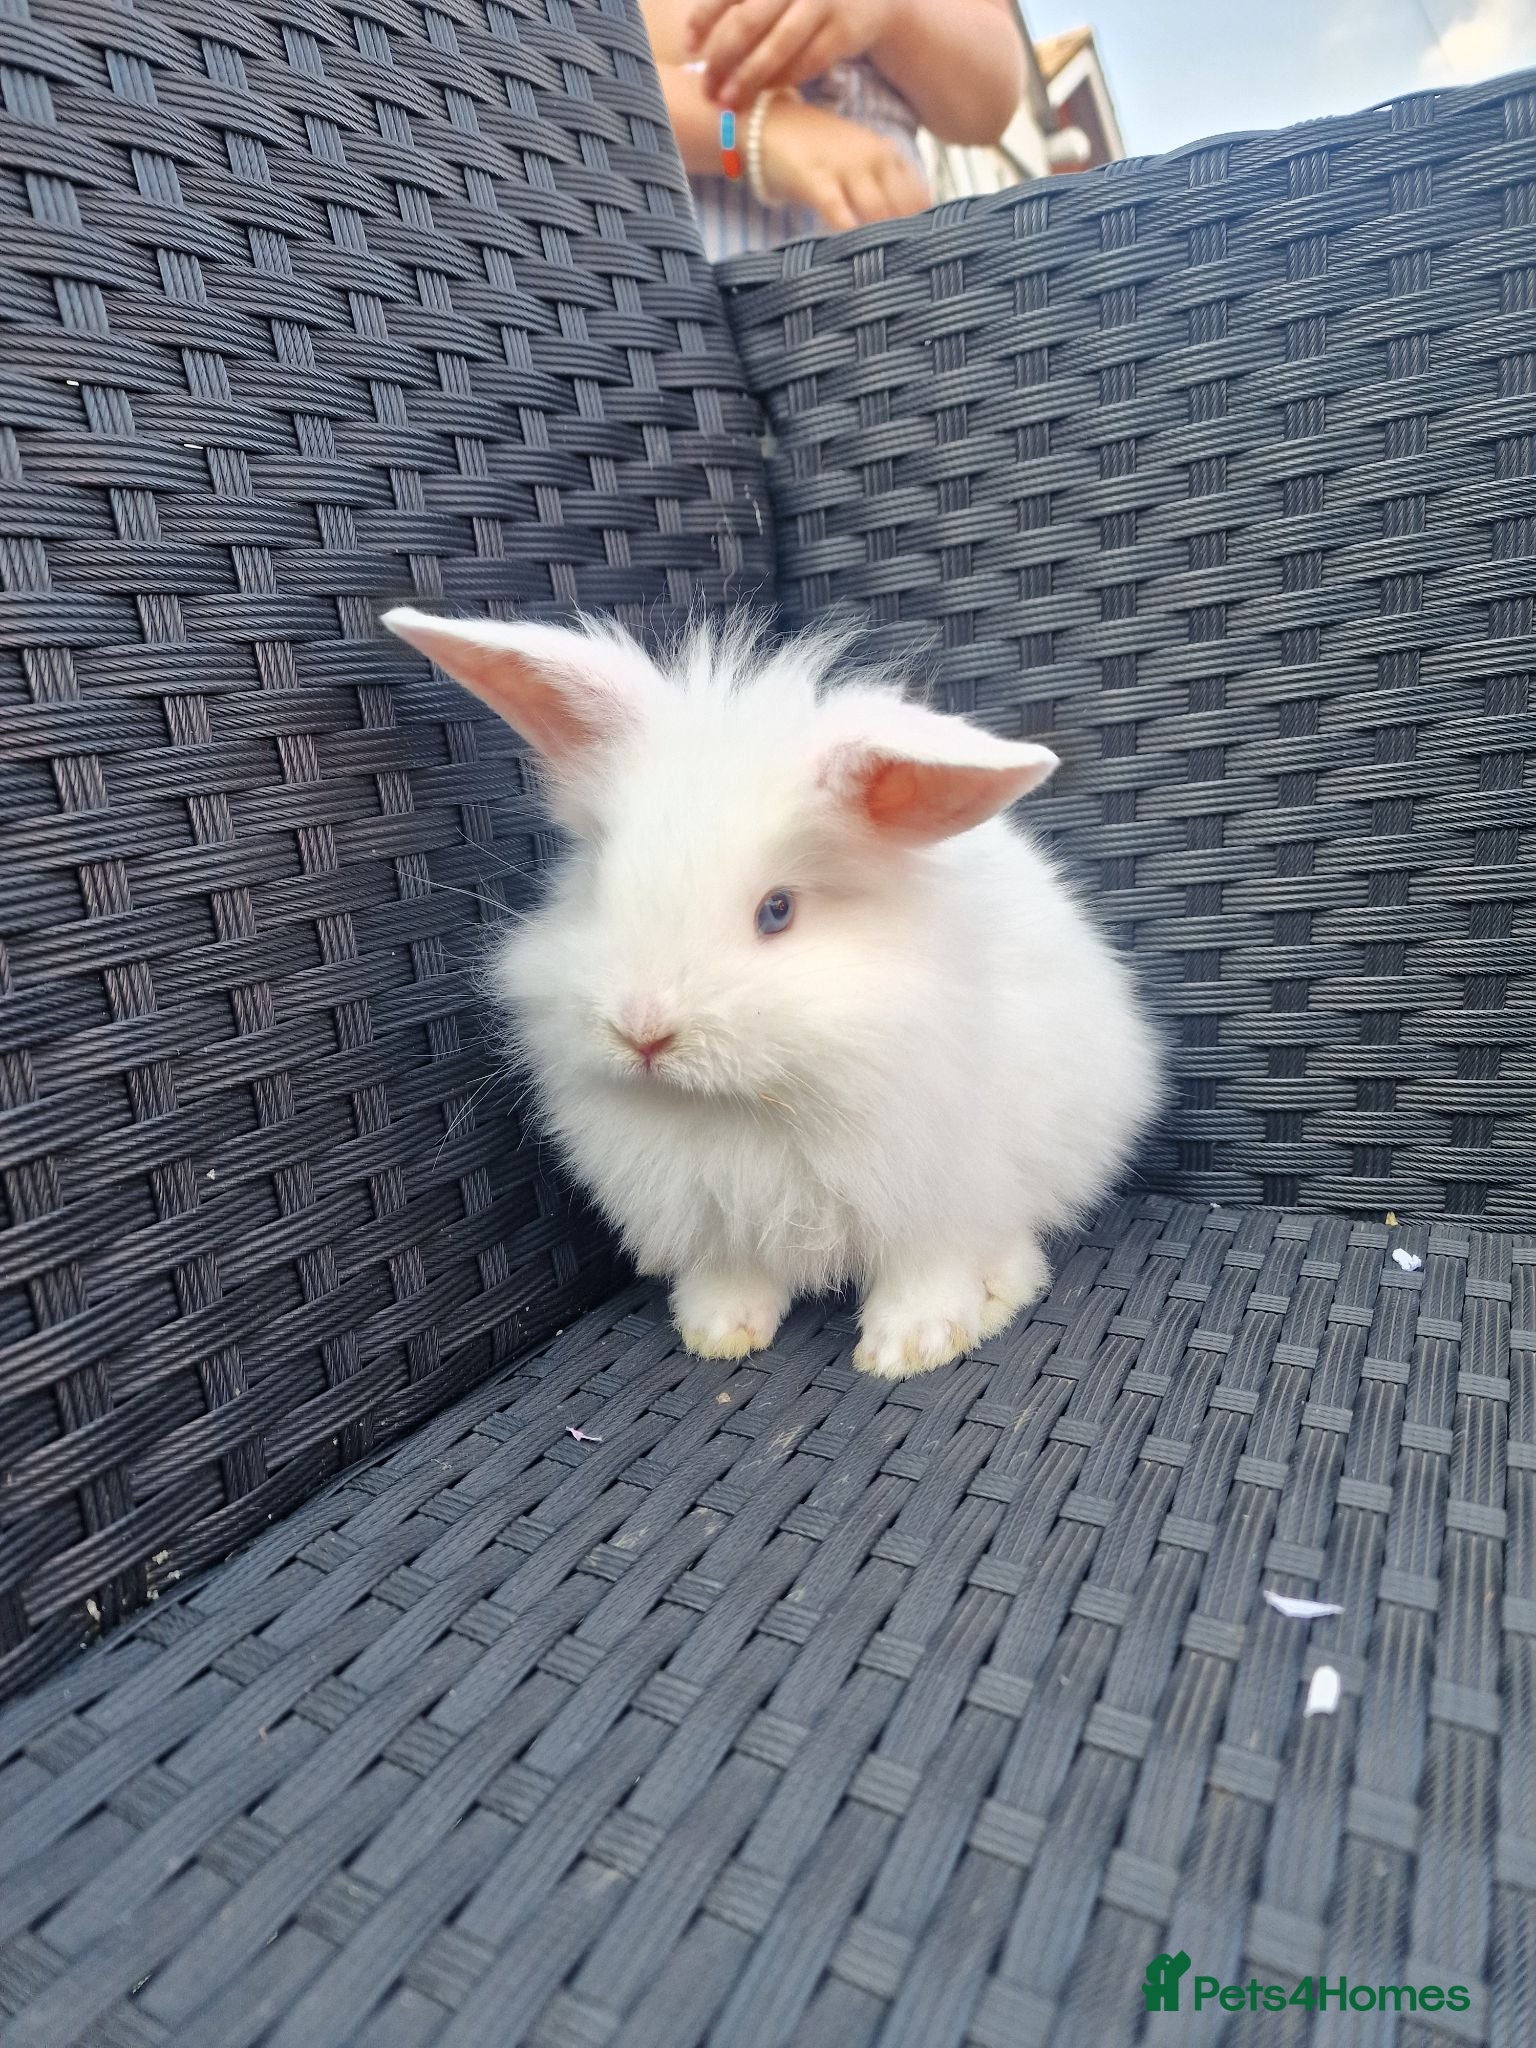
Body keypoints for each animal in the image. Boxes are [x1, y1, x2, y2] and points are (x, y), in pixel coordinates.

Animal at [383, 607, 1163, 1379]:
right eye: (599, 882)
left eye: (778, 910)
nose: (642, 1031)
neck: (756, 1102)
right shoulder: (716, 1213)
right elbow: (735, 1274)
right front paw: (716, 1329)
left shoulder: (944, 1189)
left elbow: (928, 1270)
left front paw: (910, 1348)